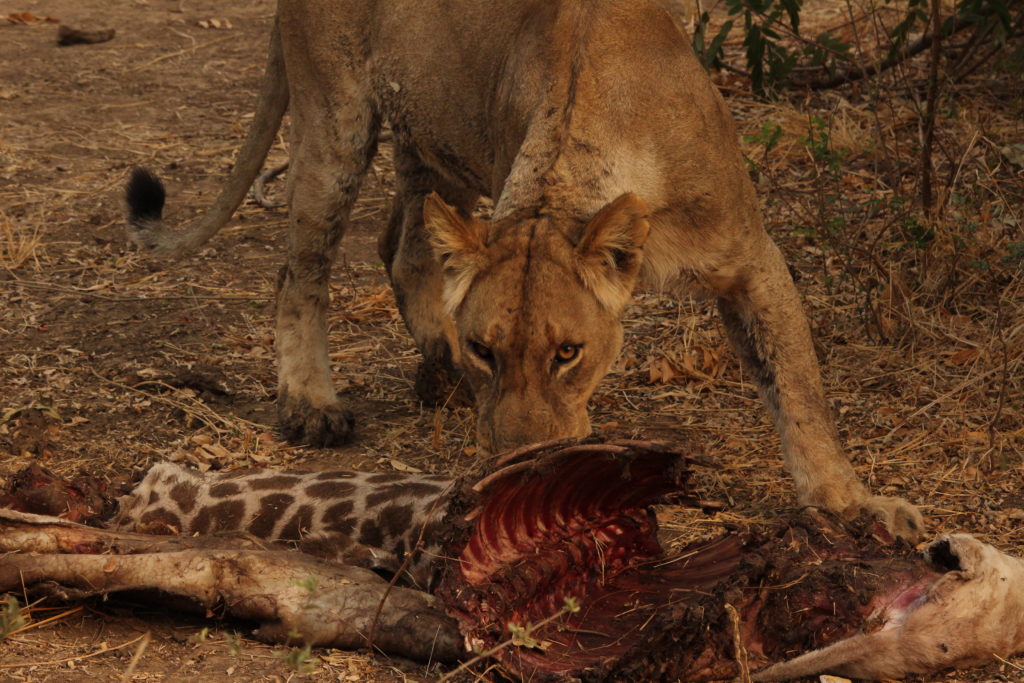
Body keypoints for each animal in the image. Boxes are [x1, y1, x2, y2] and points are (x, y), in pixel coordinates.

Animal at [125, 0, 922, 539]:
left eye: (568, 353)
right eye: (488, 349)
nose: (516, 464)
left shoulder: (751, 258)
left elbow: (799, 388)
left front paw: (853, 505)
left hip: (432, 140)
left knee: (402, 245)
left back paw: (433, 370)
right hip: (336, 118)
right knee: (301, 271)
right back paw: (314, 401)